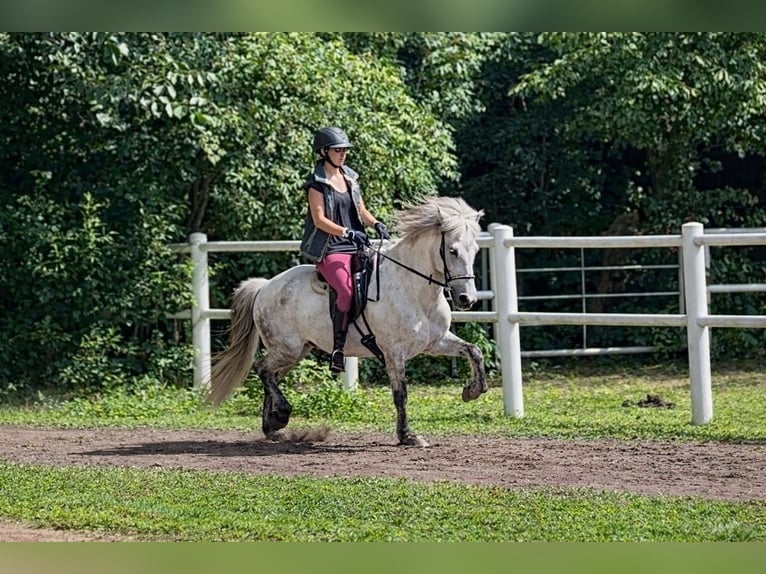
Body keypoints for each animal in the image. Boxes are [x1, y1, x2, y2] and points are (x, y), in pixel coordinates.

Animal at [207, 196, 488, 447]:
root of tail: (264, 287)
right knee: (262, 369)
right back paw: (282, 414)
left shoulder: (435, 342)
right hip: (288, 349)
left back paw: (273, 426)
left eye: (475, 250)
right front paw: (407, 436)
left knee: (271, 375)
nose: (467, 299)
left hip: (295, 351)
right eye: (452, 250)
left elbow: (474, 351)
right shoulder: (393, 352)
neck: (413, 288)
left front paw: (472, 390)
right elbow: (401, 394)